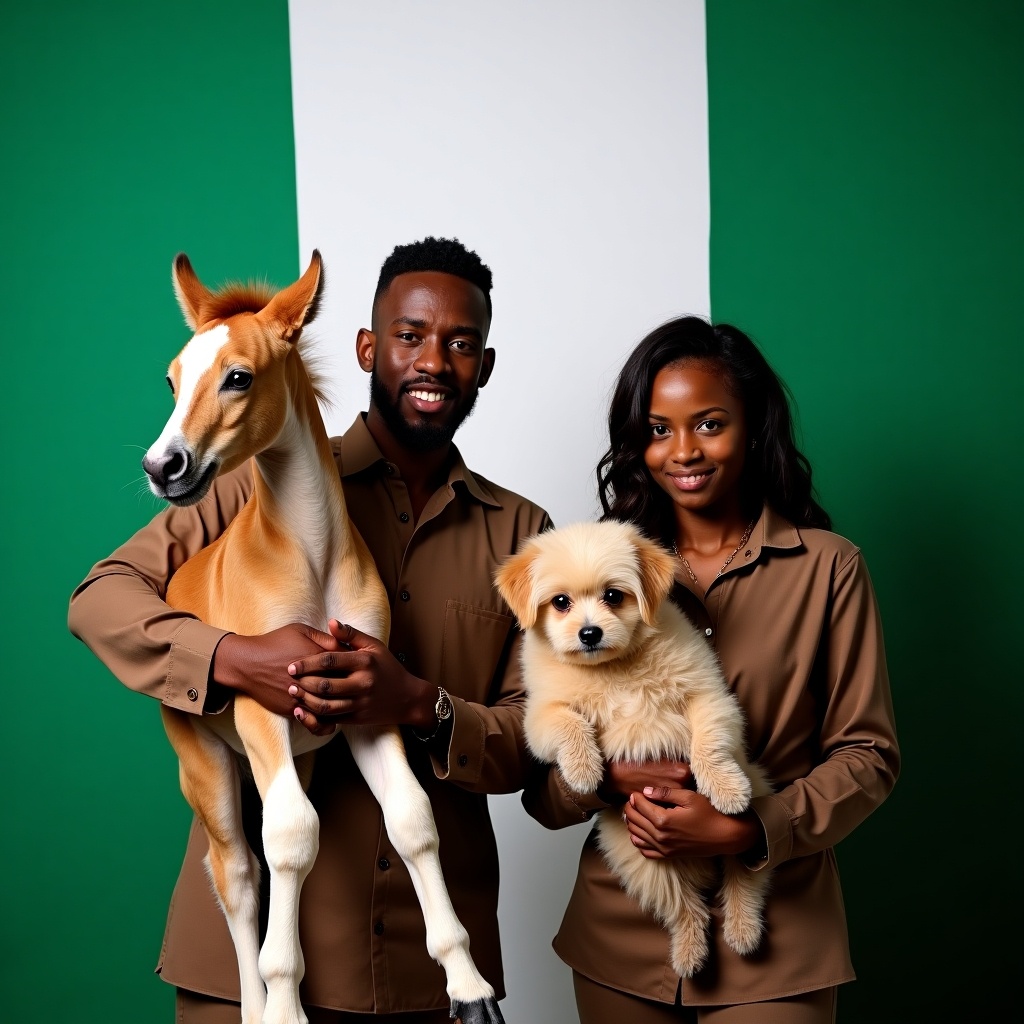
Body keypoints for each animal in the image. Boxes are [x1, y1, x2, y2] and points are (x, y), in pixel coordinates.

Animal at [493, 524, 770, 978]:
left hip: (747, 825)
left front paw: (725, 788)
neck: (612, 666)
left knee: (743, 875)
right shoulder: (539, 716)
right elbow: (568, 722)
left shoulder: (707, 695)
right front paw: (583, 771)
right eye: (561, 602)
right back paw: (691, 955)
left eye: (613, 596)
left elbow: (708, 741)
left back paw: (743, 928)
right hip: (644, 863)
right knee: (688, 909)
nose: (590, 633)